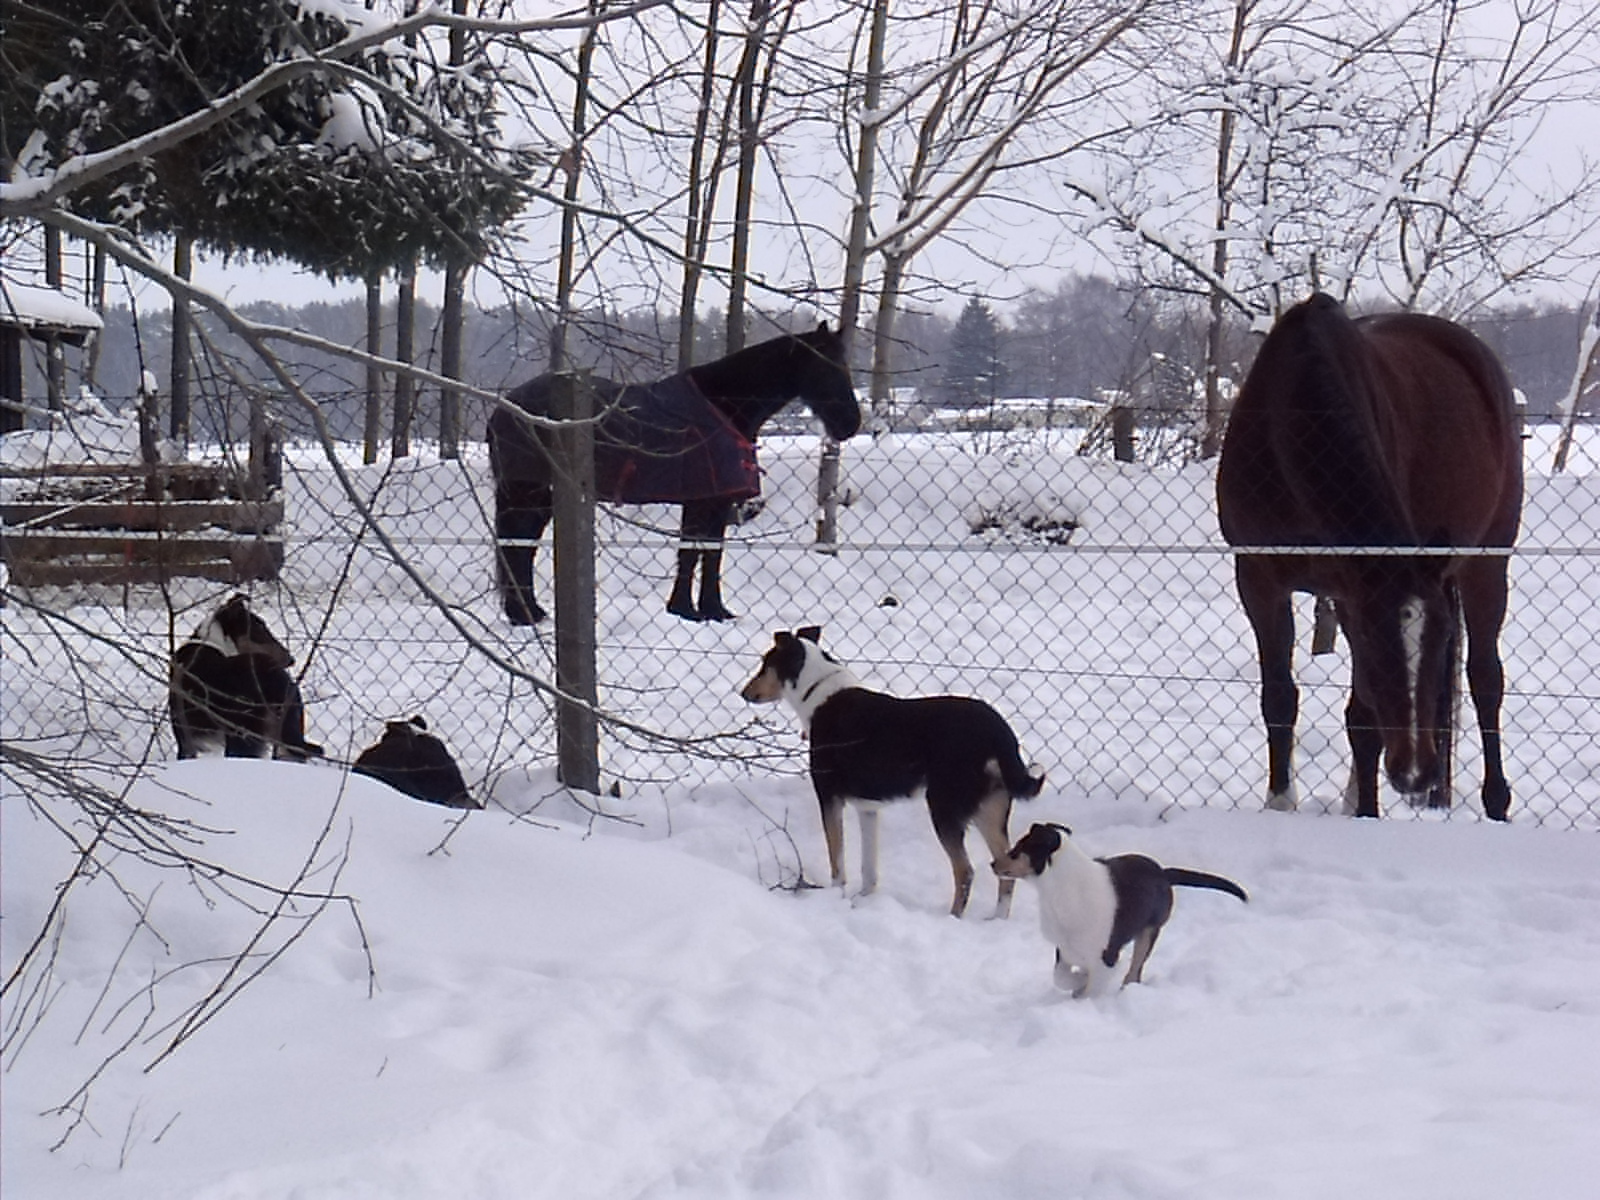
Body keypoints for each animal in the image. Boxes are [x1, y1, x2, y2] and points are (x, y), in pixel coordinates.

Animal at [486, 329, 864, 630]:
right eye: (826, 366)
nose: (851, 423)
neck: (722, 405)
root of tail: (504, 407)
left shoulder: (716, 502)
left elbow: (710, 555)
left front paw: (714, 610)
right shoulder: (702, 501)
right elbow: (692, 554)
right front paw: (687, 610)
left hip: (539, 498)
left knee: (521, 548)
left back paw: (530, 612)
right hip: (525, 492)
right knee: (515, 546)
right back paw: (523, 615)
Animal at [739, 630, 1049, 921]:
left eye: (765, 665)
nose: (743, 693)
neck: (816, 692)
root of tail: (1000, 733)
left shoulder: (828, 796)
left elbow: (837, 859)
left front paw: (835, 898)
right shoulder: (867, 808)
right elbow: (869, 867)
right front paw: (863, 901)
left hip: (944, 807)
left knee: (965, 871)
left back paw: (952, 918)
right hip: (990, 812)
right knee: (1005, 871)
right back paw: (996, 920)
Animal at [992, 825, 1241, 998]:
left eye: (1017, 851)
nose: (992, 864)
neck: (1059, 888)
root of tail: (1163, 872)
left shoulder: (1107, 953)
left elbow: (1094, 987)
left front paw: (1084, 994)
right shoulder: (1064, 947)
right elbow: (1061, 977)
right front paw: (1079, 982)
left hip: (1150, 930)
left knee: (1134, 971)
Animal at [1216, 294, 1516, 819]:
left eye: (1437, 641)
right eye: (1379, 641)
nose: (1415, 772)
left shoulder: (1351, 591)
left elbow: (1364, 717)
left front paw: (1367, 814)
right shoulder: (1260, 578)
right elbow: (1279, 697)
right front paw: (1281, 802)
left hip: (1487, 562)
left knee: (1485, 679)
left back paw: (1494, 801)